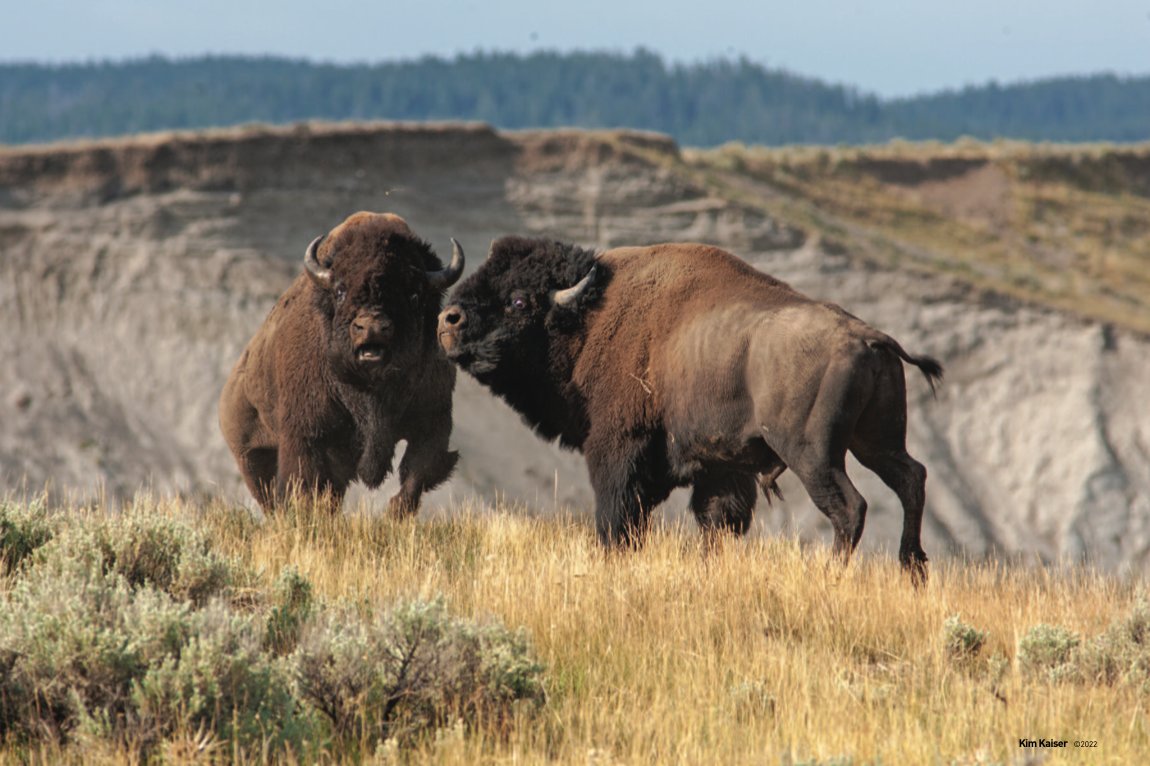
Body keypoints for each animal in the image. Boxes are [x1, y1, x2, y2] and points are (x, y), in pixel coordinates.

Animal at [220, 212, 463, 516]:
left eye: (414, 294)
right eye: (340, 290)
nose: (371, 327)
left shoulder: (432, 421)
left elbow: (417, 475)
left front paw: (394, 514)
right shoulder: (306, 435)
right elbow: (303, 482)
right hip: (250, 455)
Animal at [437, 237, 942, 582]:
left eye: (518, 299)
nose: (448, 319)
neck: (587, 317)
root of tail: (870, 336)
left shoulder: (618, 450)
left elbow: (618, 516)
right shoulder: (721, 469)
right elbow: (715, 520)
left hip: (812, 453)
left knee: (849, 506)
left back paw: (833, 575)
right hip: (875, 441)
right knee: (911, 478)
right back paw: (913, 568)